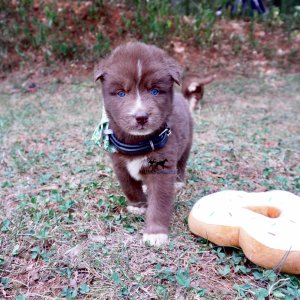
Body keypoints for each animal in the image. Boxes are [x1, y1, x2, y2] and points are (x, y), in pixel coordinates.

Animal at [94, 42, 192, 246]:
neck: (137, 142)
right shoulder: (119, 164)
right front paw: (138, 206)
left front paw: (155, 233)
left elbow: (160, 201)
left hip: (187, 143)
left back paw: (179, 182)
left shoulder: (163, 167)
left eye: (154, 91)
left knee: (182, 163)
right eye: (121, 93)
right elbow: (129, 187)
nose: (141, 117)